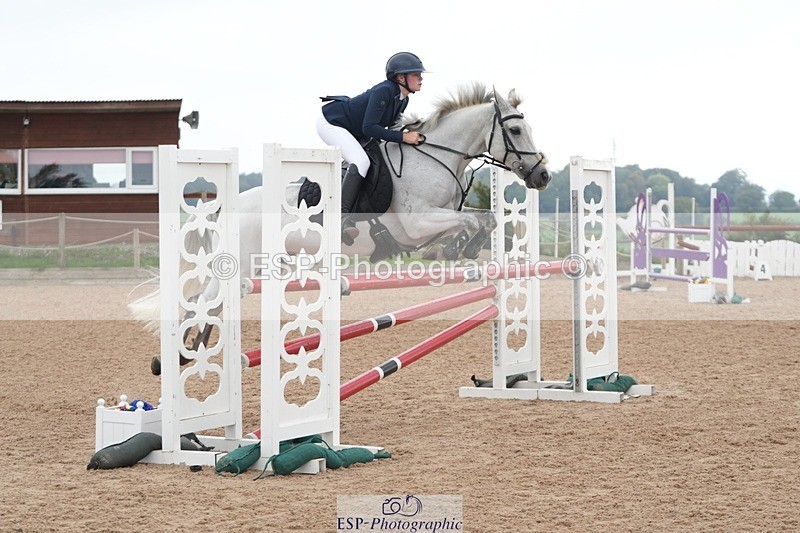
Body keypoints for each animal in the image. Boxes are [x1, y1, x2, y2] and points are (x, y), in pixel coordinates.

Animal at [130, 83, 552, 374]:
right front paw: (457, 248)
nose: (543, 175)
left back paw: (189, 354)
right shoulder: (415, 223)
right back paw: (176, 358)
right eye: (516, 133)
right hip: (243, 266)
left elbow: (486, 217)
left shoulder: (437, 218)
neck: (435, 157)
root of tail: (229, 208)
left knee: (210, 303)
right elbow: (471, 220)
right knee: (203, 300)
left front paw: (461, 248)